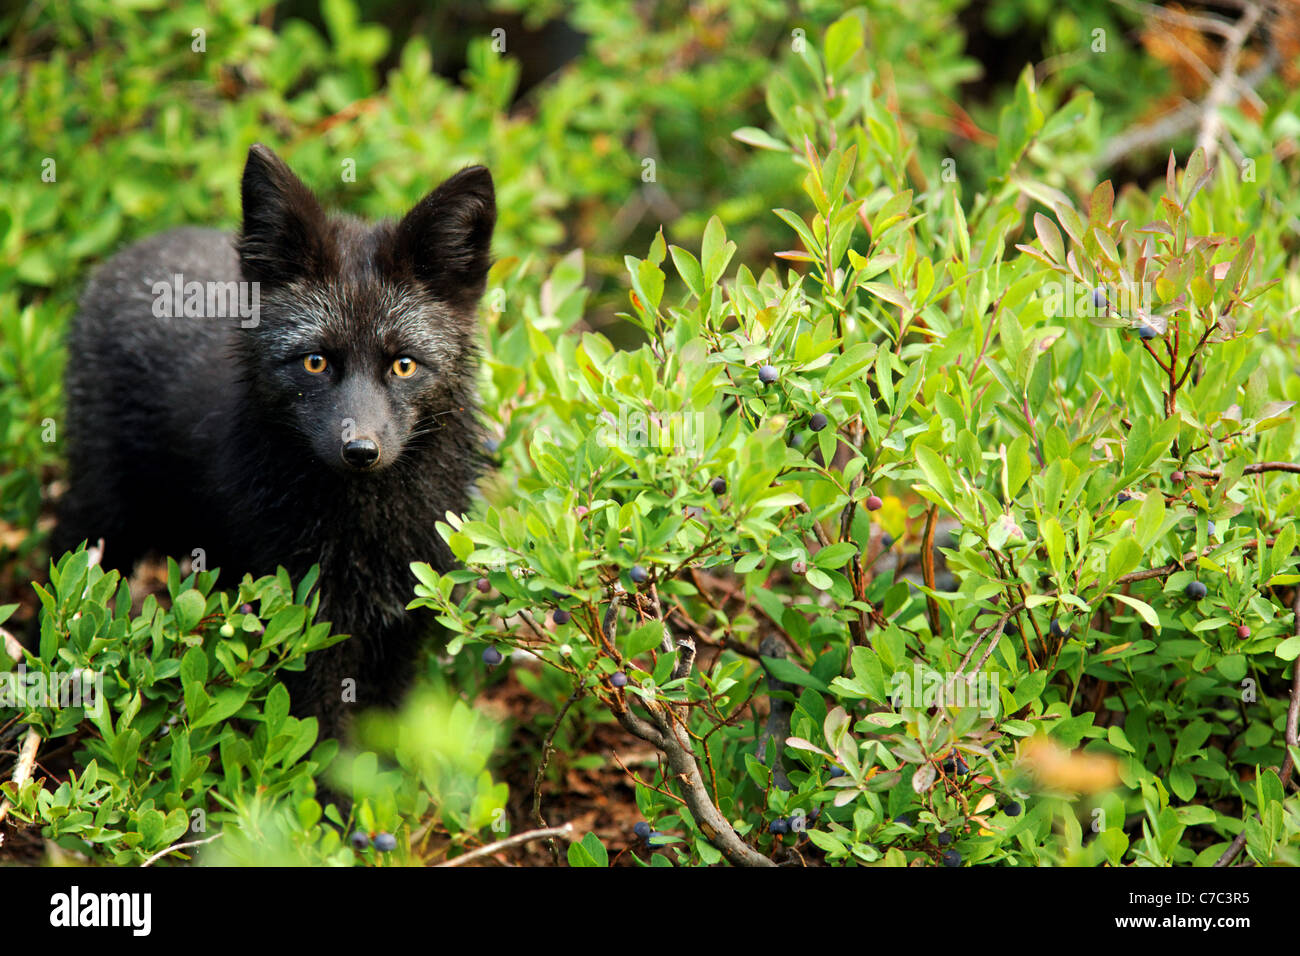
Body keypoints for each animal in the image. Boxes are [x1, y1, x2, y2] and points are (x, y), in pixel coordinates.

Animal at [53, 143, 493, 738]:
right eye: (315, 362)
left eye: (404, 365)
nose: (360, 452)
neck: (366, 531)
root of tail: (129, 253)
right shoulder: (303, 623)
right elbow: (319, 741)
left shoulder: (405, 621)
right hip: (105, 521)